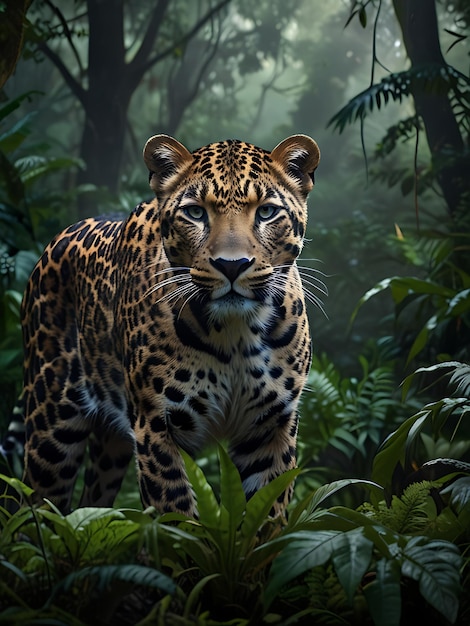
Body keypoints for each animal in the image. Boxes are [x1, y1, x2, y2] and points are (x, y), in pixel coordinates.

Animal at [21, 130, 320, 512]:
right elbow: (176, 515)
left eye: (267, 211)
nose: (232, 265)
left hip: (111, 444)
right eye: (194, 212)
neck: (236, 332)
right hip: (51, 432)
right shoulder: (156, 427)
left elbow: (268, 516)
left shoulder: (271, 427)